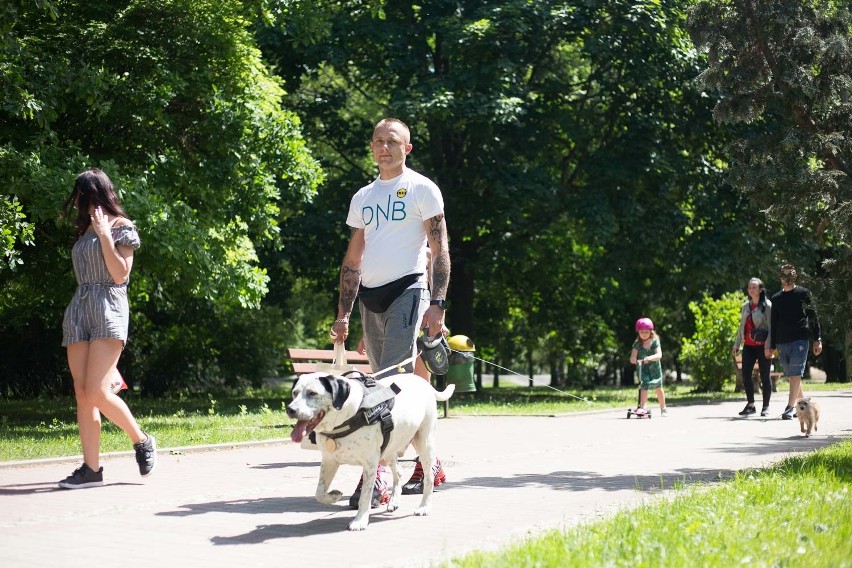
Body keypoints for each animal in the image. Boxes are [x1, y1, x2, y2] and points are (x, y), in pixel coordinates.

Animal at [286, 370, 456, 532]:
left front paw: (359, 521)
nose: (290, 409)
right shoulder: (330, 460)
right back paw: (394, 501)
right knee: (398, 472)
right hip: (389, 449)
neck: (348, 415)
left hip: (424, 443)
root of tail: (425, 383)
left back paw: (424, 507)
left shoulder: (370, 463)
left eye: (312, 393)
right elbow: (319, 492)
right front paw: (334, 495)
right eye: (294, 393)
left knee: (429, 478)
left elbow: (365, 496)